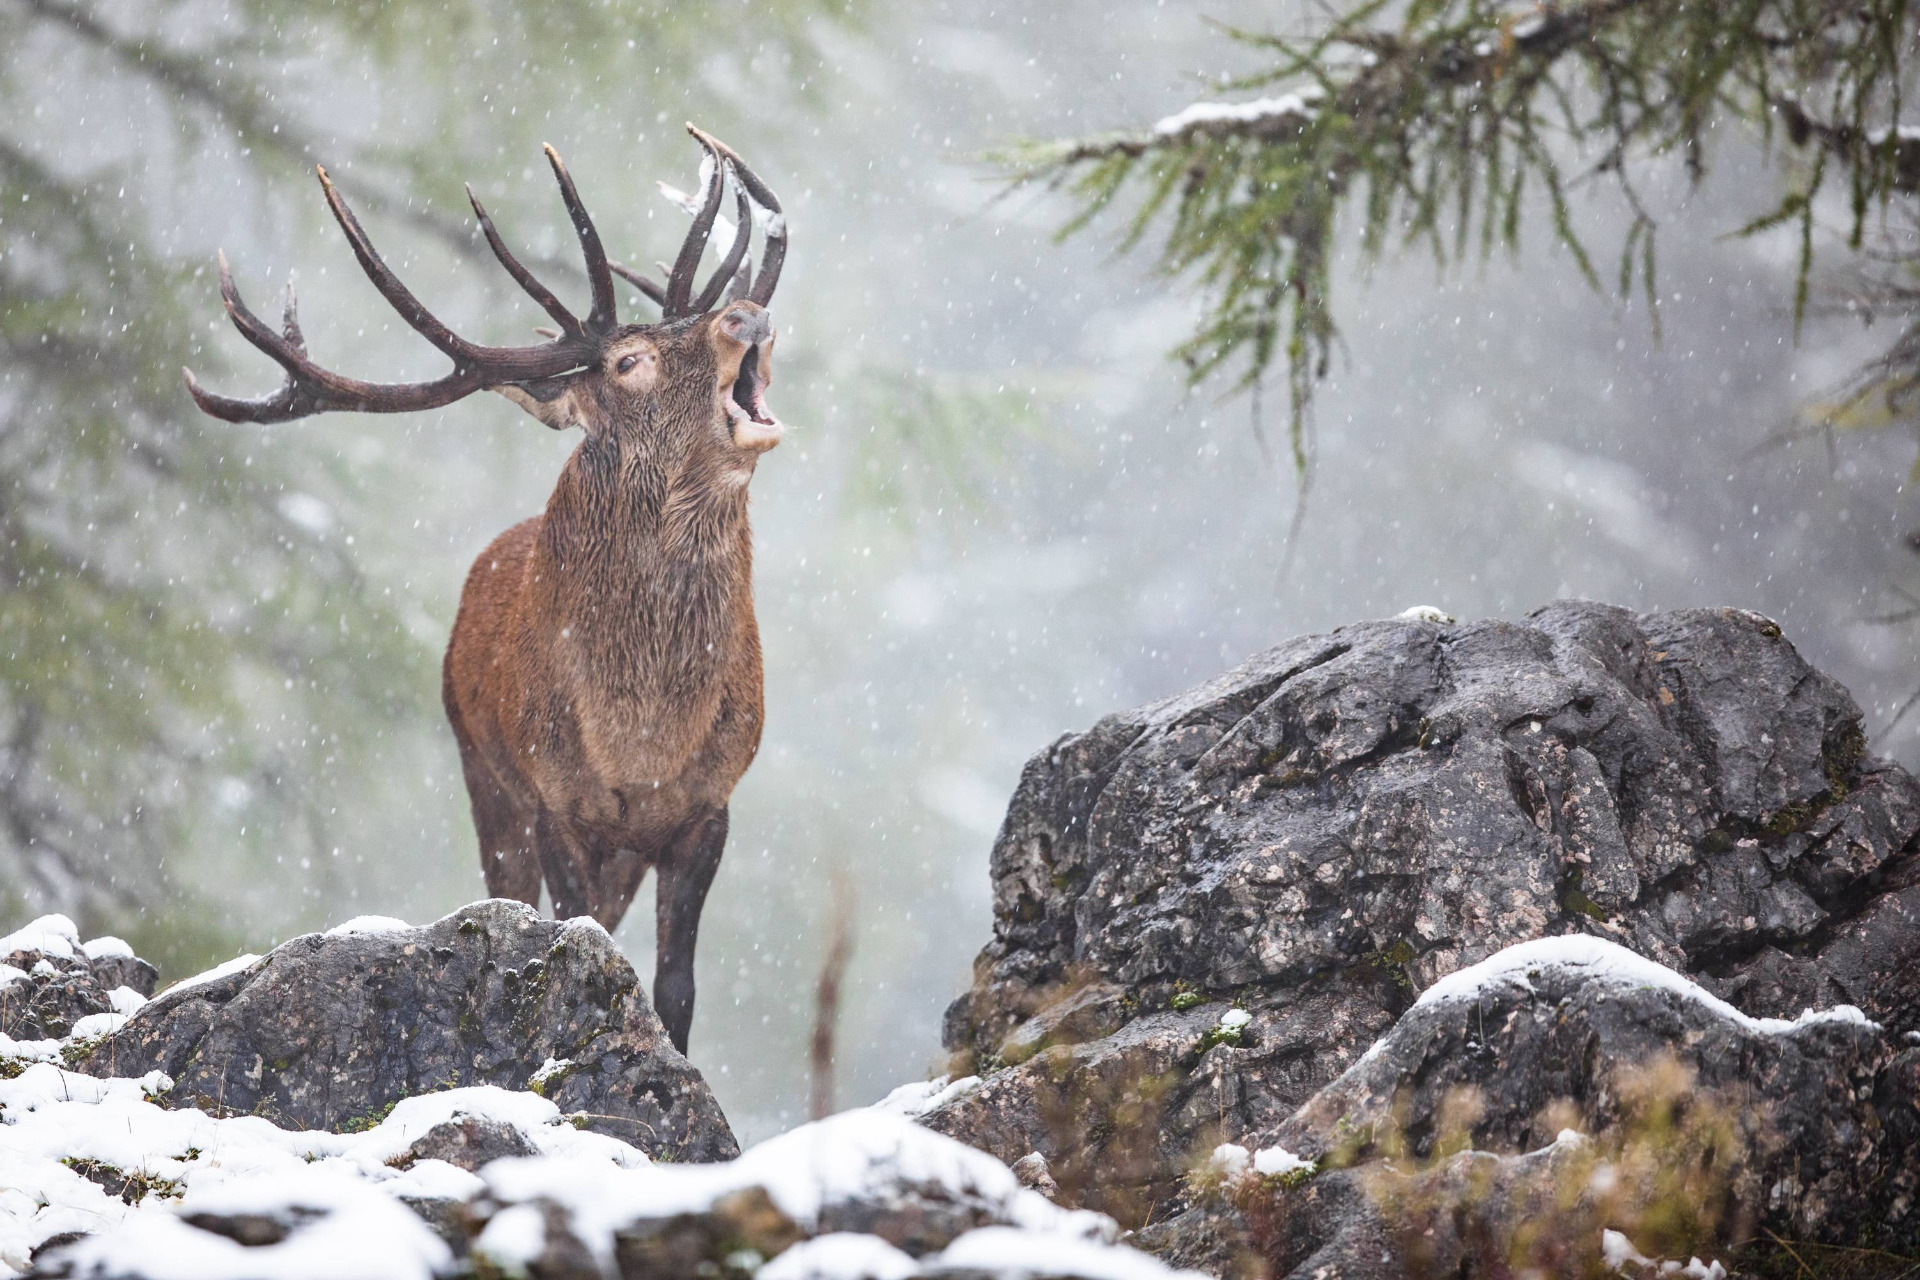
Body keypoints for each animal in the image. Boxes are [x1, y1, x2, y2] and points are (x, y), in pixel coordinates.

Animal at [184, 126, 788, 1055]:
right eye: (629, 360)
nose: (745, 313)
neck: (641, 738)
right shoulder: (553, 800)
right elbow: (584, 946)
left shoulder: (709, 805)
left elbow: (678, 989)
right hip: (481, 773)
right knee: (510, 898)